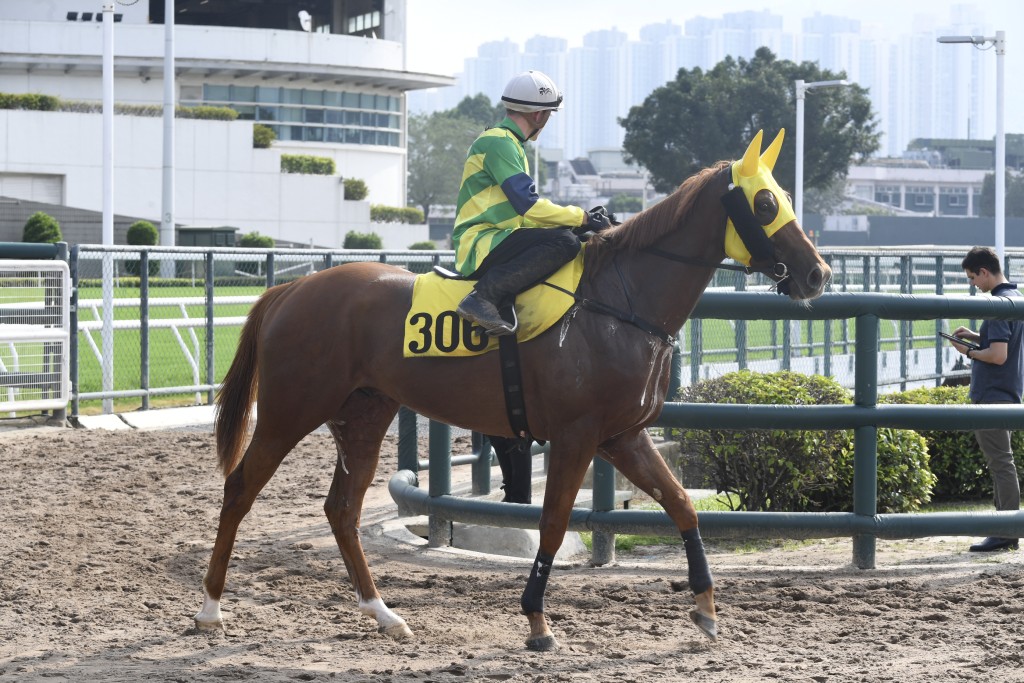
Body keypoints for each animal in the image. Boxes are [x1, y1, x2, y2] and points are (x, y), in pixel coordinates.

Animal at [193, 129, 831, 651]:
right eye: (766, 202)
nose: (818, 273)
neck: (617, 302)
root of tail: (291, 290)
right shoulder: (576, 437)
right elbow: (552, 522)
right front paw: (537, 622)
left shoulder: (623, 436)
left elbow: (681, 506)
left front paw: (705, 609)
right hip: (290, 410)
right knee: (240, 489)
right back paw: (210, 609)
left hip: (365, 415)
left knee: (342, 509)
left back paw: (383, 613)